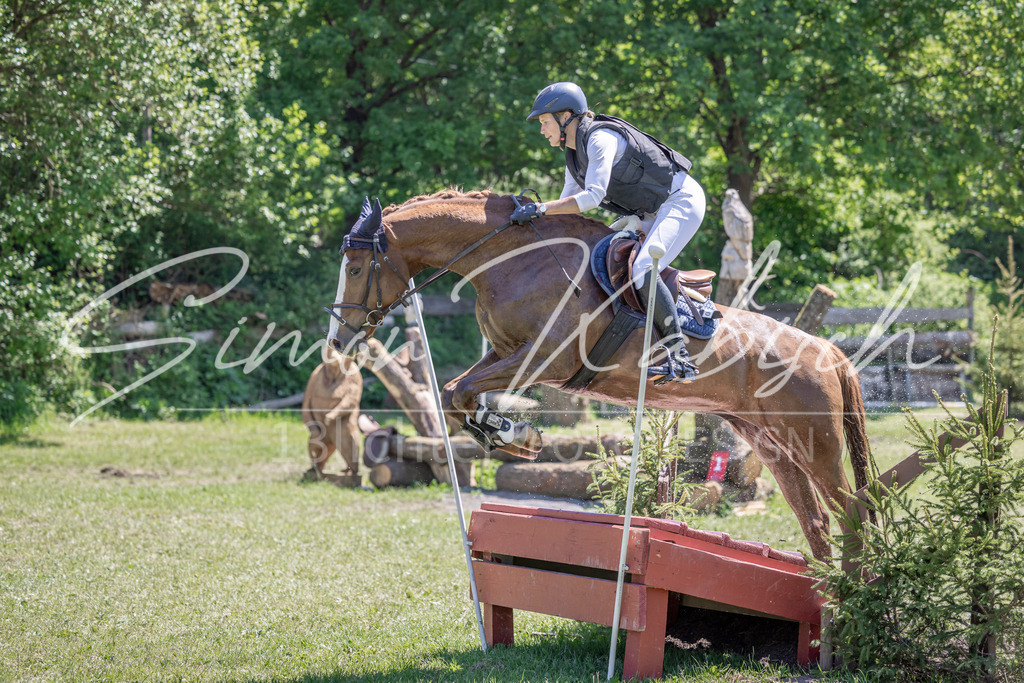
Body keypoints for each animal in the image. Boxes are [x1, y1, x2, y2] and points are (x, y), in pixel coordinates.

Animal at [326, 189, 871, 561]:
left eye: (353, 268)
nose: (338, 340)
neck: (510, 260)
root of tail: (828, 351)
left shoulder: (545, 359)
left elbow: (461, 391)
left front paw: (514, 435)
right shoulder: (505, 352)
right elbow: (454, 392)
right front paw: (511, 434)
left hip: (816, 444)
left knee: (850, 510)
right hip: (772, 443)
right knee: (815, 519)